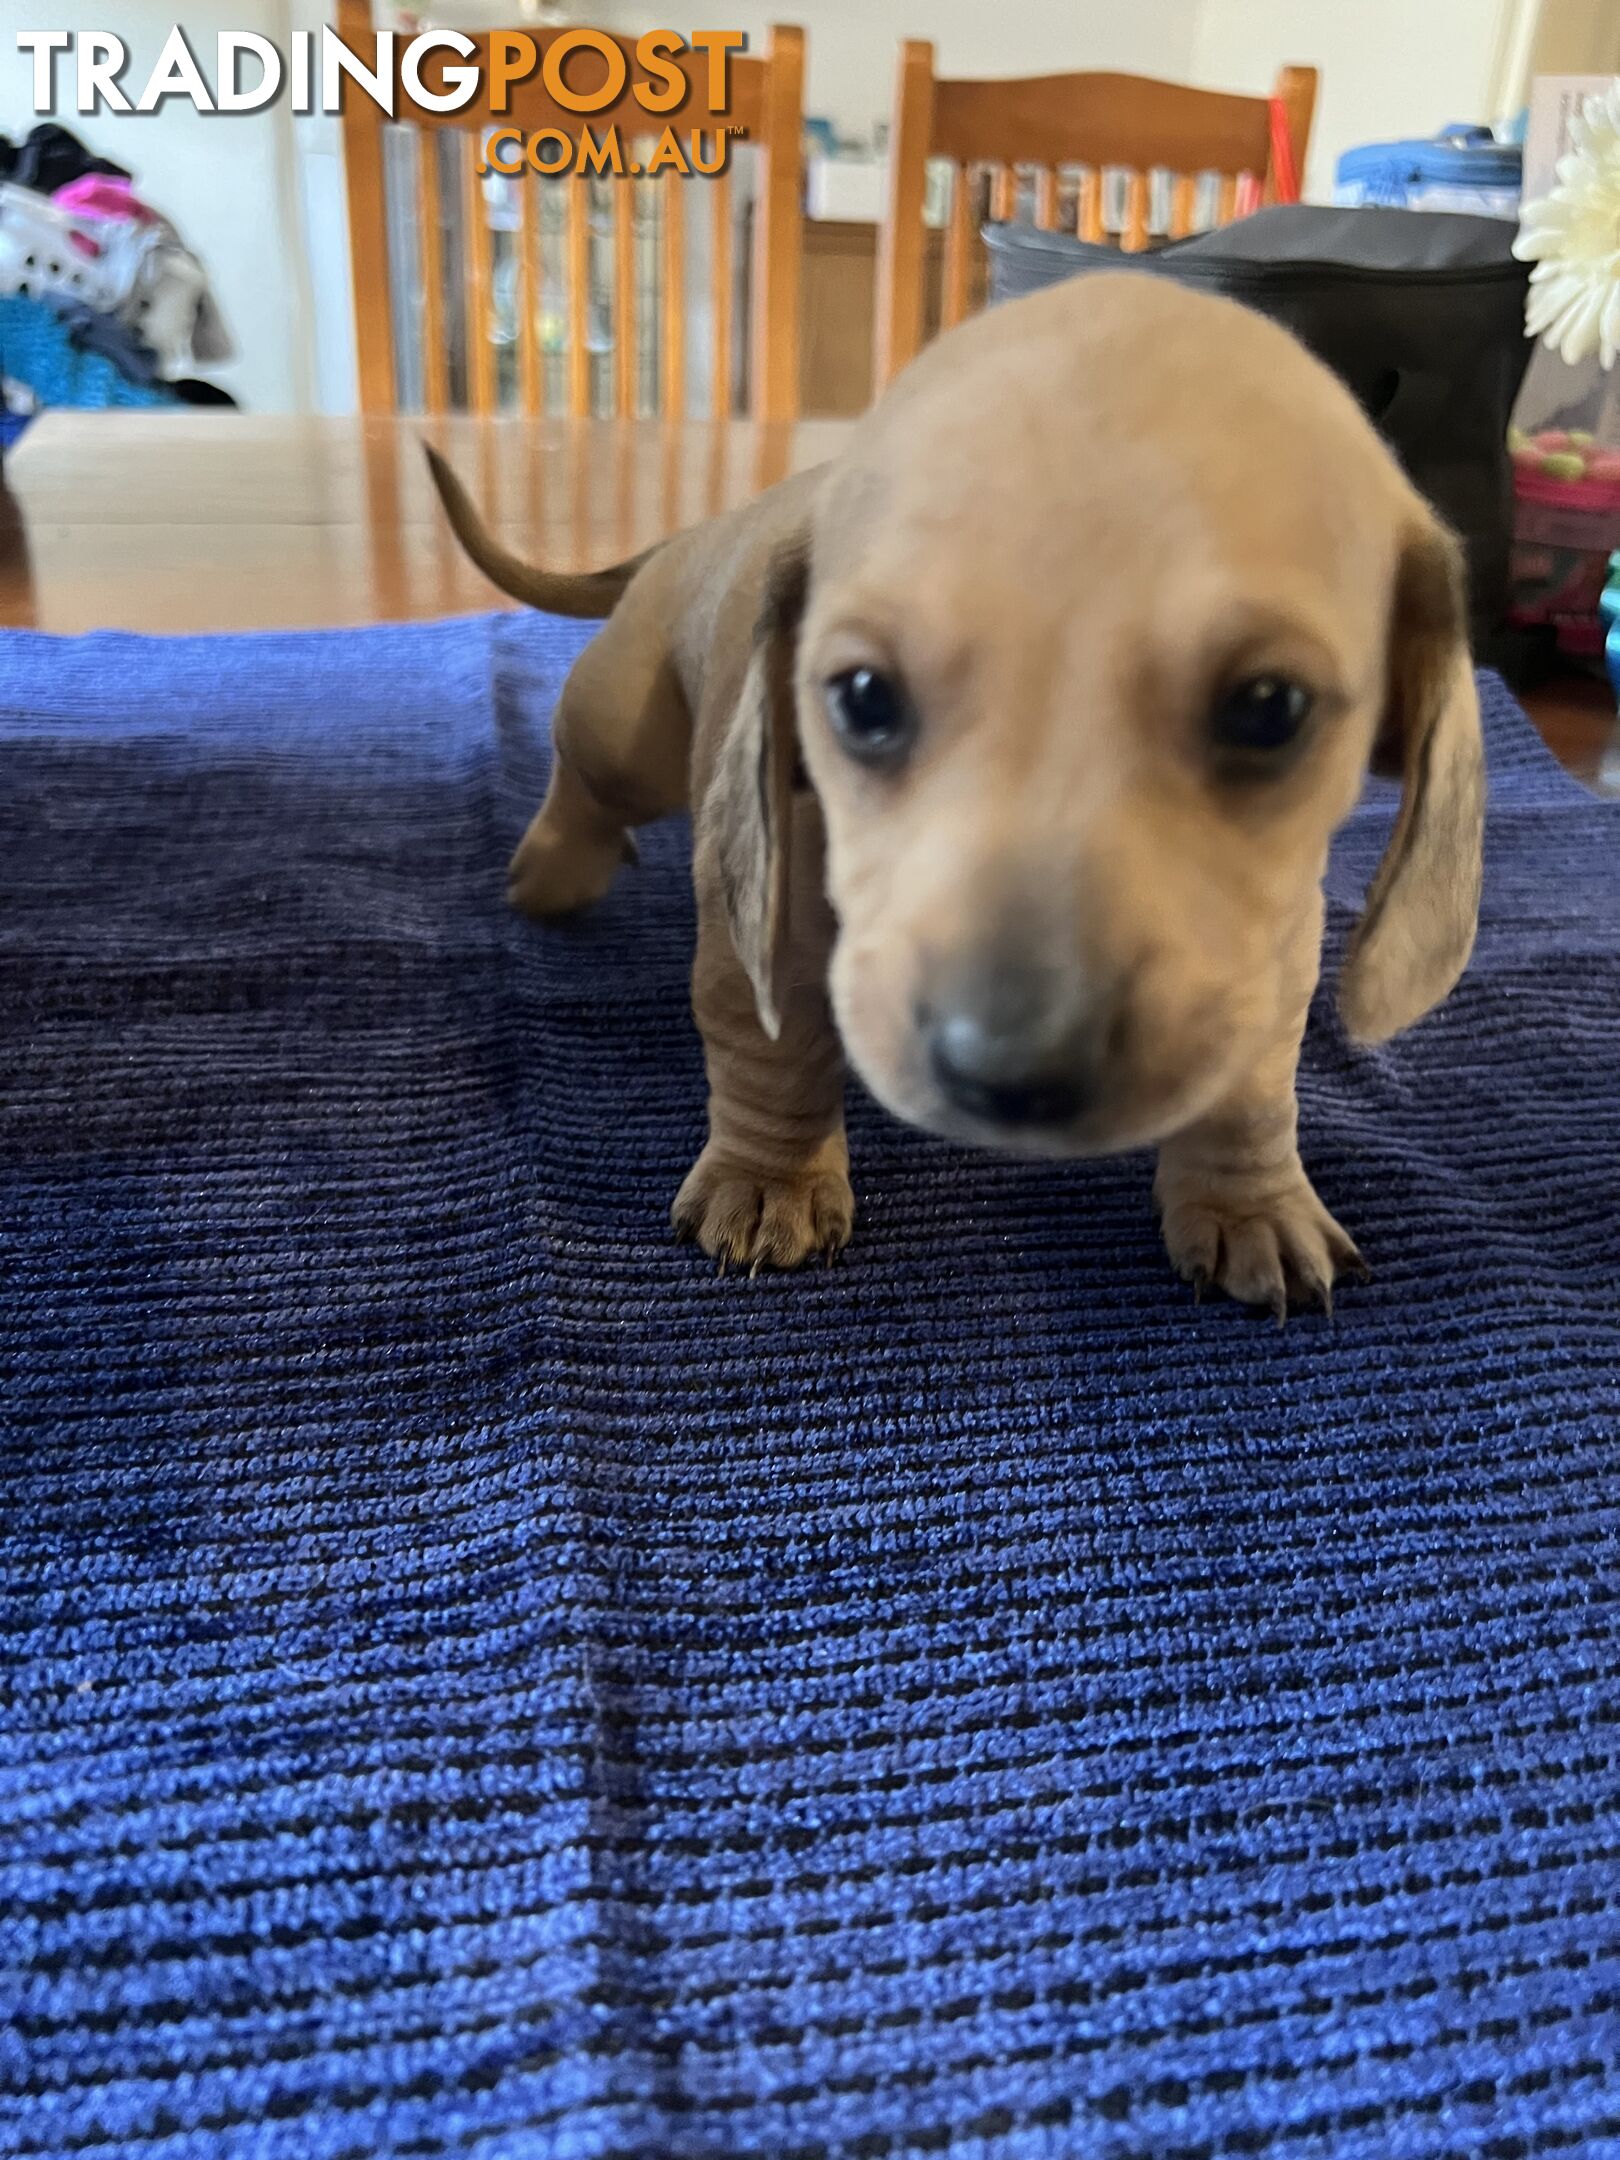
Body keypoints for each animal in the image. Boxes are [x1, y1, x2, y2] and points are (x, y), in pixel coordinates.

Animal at [427, 270, 1486, 1313]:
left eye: (1271, 707)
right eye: (862, 696)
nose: (1010, 1071)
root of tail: (694, 534)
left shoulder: (1271, 946)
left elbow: (1254, 1088)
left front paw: (1249, 1203)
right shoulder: (765, 913)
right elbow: (770, 1044)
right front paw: (770, 1178)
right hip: (623, 728)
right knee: (583, 777)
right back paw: (557, 862)